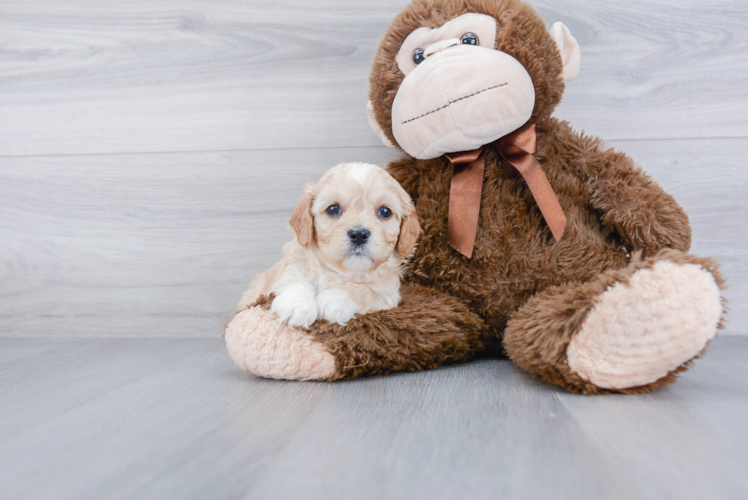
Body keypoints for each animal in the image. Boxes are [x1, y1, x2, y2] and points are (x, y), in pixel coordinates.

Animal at [237, 161, 420, 328]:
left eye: (385, 211)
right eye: (333, 209)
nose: (359, 235)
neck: (339, 272)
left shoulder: (388, 294)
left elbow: (362, 290)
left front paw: (335, 299)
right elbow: (296, 277)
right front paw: (295, 304)